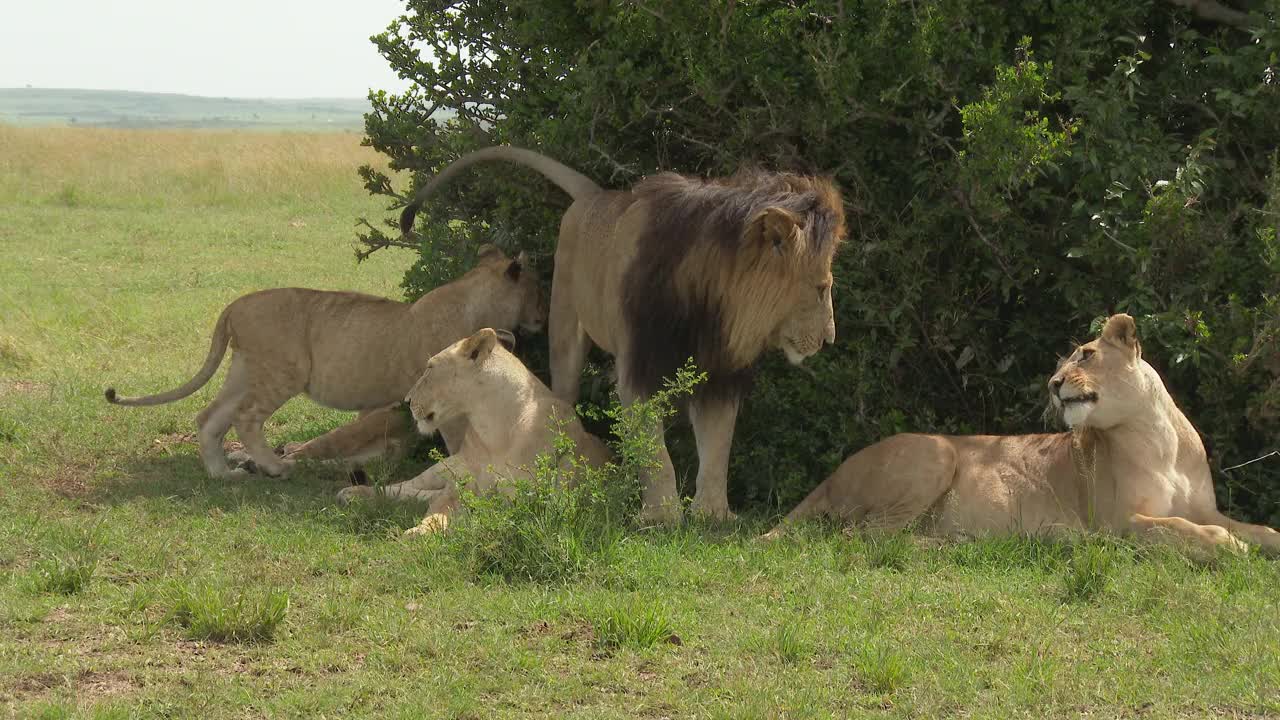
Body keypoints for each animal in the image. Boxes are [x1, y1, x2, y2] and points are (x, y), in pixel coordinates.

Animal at [101, 248, 540, 481]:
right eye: (537, 286)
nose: (543, 314)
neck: (474, 297)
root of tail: (235, 305)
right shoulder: (442, 396)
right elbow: (453, 439)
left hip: (246, 368)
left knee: (210, 417)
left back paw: (223, 474)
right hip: (284, 371)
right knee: (245, 418)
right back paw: (274, 466)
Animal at [337, 325, 611, 532]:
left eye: (430, 368)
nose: (407, 400)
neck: (493, 430)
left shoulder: (524, 500)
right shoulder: (459, 487)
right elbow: (437, 510)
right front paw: (421, 531)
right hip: (444, 467)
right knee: (405, 488)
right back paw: (353, 493)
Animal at [394, 144, 844, 520]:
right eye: (822, 287)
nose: (829, 339)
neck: (708, 302)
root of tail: (595, 195)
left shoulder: (719, 373)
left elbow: (718, 444)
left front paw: (713, 515)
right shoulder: (638, 365)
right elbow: (653, 449)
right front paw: (661, 516)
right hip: (565, 323)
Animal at [762, 313, 1280, 556]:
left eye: (1086, 354)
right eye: (1062, 363)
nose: (1052, 384)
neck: (1156, 438)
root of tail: (833, 475)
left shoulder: (1204, 507)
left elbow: (1258, 528)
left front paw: (1257, 540)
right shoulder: (1116, 522)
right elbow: (1178, 529)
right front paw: (1227, 547)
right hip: (936, 452)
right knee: (864, 538)